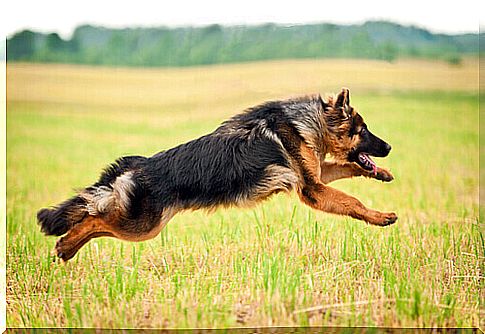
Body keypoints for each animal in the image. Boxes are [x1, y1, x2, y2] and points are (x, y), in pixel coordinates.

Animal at [36, 88, 394, 260]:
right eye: (363, 130)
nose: (389, 147)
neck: (310, 122)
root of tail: (140, 163)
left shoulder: (316, 175)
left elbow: (348, 167)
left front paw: (383, 175)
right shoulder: (312, 190)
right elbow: (352, 202)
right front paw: (380, 217)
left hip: (141, 224)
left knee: (94, 220)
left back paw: (66, 248)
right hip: (142, 226)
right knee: (94, 219)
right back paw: (65, 246)